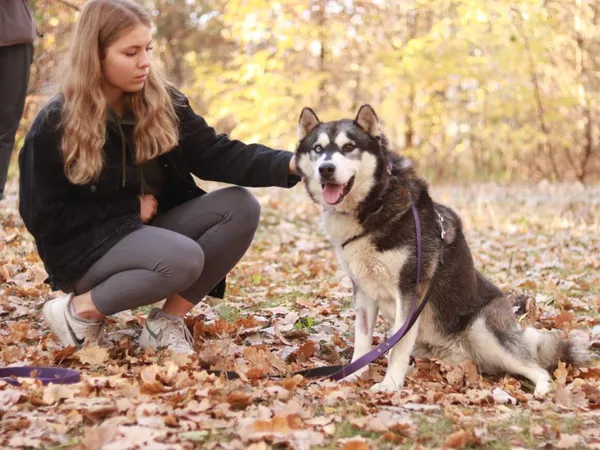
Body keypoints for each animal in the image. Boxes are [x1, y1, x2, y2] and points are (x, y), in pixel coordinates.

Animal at [296, 105, 584, 398]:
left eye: (349, 146)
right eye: (318, 149)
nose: (326, 169)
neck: (376, 204)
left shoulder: (409, 290)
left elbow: (397, 347)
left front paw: (390, 384)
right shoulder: (364, 290)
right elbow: (363, 341)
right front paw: (352, 375)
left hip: (482, 331)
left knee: (537, 366)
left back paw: (542, 389)